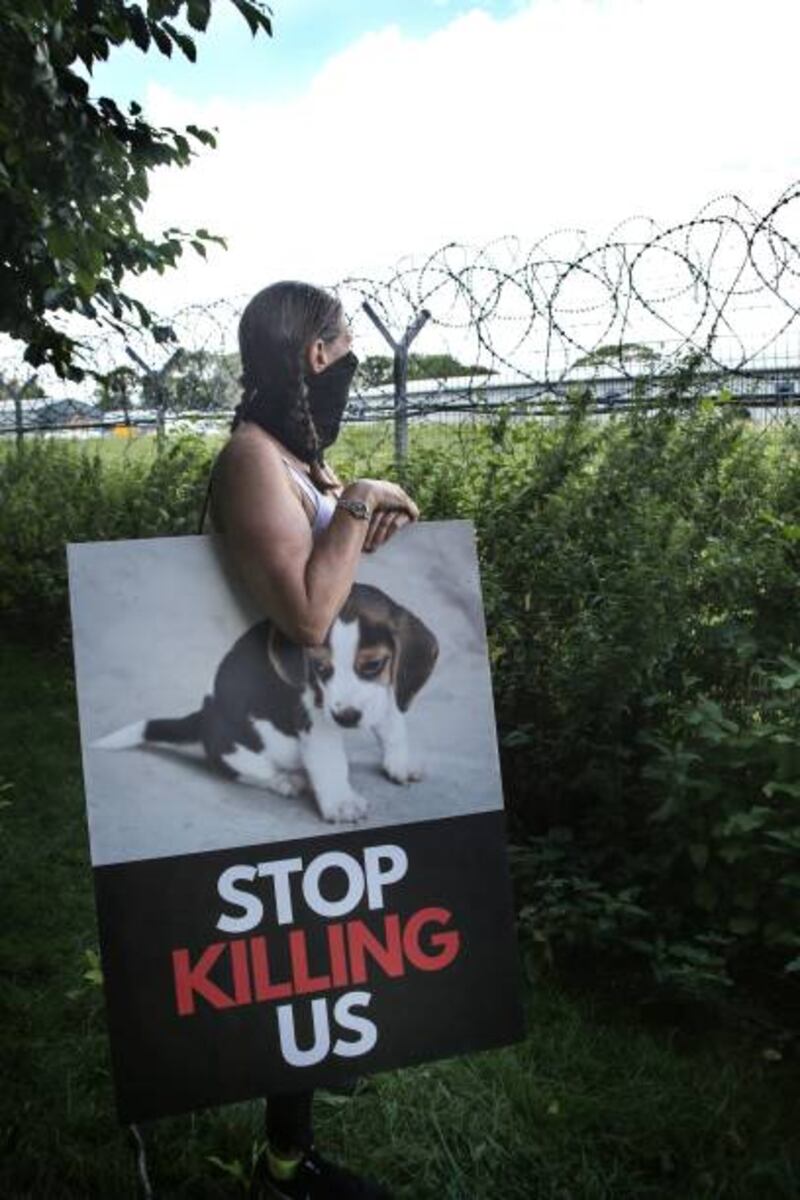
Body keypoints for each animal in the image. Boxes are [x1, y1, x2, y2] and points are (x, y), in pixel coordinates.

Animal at [98, 583, 443, 825]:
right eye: (320, 668)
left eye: (373, 665)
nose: (345, 718)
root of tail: (203, 717)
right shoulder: (315, 721)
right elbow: (332, 763)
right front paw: (341, 802)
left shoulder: (384, 693)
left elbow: (393, 729)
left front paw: (399, 764)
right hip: (234, 751)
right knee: (251, 773)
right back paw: (285, 780)